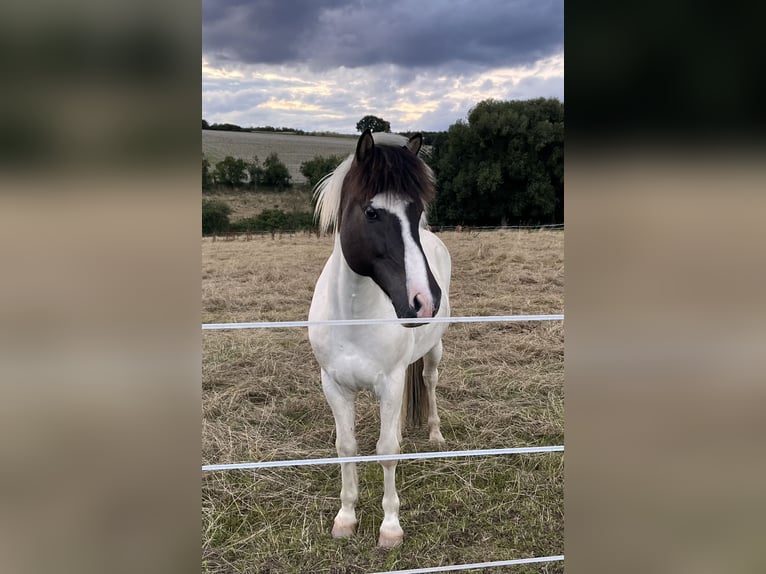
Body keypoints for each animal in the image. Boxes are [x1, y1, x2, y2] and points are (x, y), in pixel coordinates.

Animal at [308, 129, 451, 548]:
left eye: (416, 212)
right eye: (372, 213)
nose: (425, 301)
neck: (353, 319)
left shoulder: (390, 381)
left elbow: (386, 451)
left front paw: (390, 527)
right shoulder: (334, 386)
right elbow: (347, 448)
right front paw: (345, 518)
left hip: (433, 352)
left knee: (429, 381)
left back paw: (435, 433)